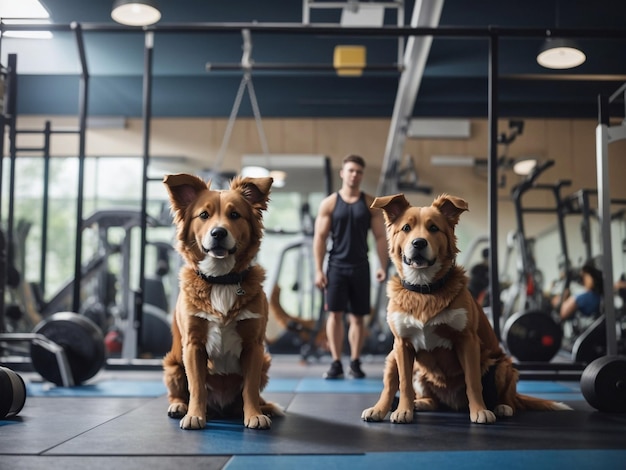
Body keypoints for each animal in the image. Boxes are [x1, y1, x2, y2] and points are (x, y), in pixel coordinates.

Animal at [161, 173, 280, 430]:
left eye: (235, 215)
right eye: (204, 215)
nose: (218, 233)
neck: (221, 280)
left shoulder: (254, 346)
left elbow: (250, 388)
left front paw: (254, 414)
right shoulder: (193, 345)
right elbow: (197, 387)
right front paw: (194, 415)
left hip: (265, 363)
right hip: (173, 364)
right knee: (178, 391)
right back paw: (179, 406)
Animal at [360, 193, 572, 424]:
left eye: (434, 228)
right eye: (406, 228)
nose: (418, 243)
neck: (424, 289)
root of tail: (452, 402)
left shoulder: (467, 340)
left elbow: (473, 381)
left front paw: (479, 410)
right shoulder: (402, 344)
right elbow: (403, 383)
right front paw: (403, 410)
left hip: (503, 365)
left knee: (509, 397)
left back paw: (502, 407)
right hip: (393, 357)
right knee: (398, 387)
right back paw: (394, 407)